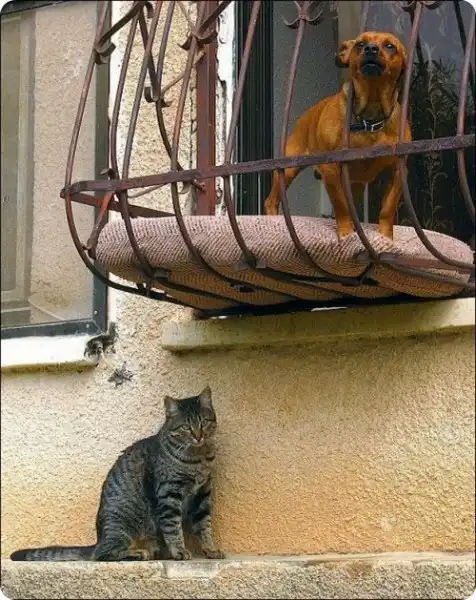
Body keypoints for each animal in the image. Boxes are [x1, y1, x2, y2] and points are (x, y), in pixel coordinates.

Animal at [10, 386, 224, 562]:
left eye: (204, 423)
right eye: (186, 427)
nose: (198, 436)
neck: (198, 459)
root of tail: (98, 539)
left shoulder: (203, 494)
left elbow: (204, 525)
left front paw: (210, 549)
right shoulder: (169, 494)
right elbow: (172, 527)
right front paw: (179, 551)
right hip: (121, 526)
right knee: (103, 554)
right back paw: (138, 553)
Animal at [264, 31, 411, 240]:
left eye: (390, 46)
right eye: (360, 44)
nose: (370, 49)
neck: (369, 118)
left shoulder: (398, 171)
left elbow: (387, 209)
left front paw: (385, 237)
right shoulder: (330, 169)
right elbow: (341, 205)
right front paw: (346, 234)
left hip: (355, 184)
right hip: (288, 169)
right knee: (271, 200)